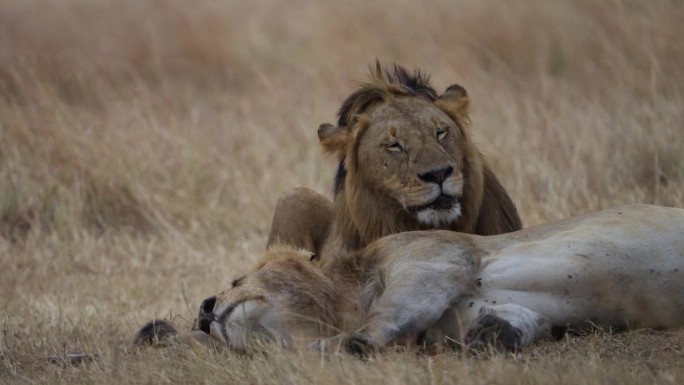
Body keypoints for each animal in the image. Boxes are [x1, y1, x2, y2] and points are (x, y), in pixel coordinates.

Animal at [183, 204, 684, 354]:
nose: (204, 309)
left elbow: (394, 310)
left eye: (236, 279)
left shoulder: (436, 257)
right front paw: (497, 334)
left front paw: (341, 345)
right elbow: (523, 321)